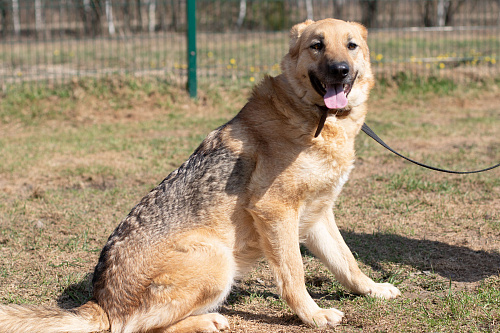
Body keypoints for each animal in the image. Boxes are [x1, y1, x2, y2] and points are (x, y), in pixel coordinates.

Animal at [0, 19, 398, 330]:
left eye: (351, 46)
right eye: (317, 46)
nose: (340, 69)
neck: (316, 118)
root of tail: (101, 304)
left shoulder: (316, 217)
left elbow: (347, 263)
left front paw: (374, 289)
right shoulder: (276, 212)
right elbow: (294, 275)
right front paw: (313, 316)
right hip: (217, 260)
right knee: (136, 327)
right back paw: (206, 320)